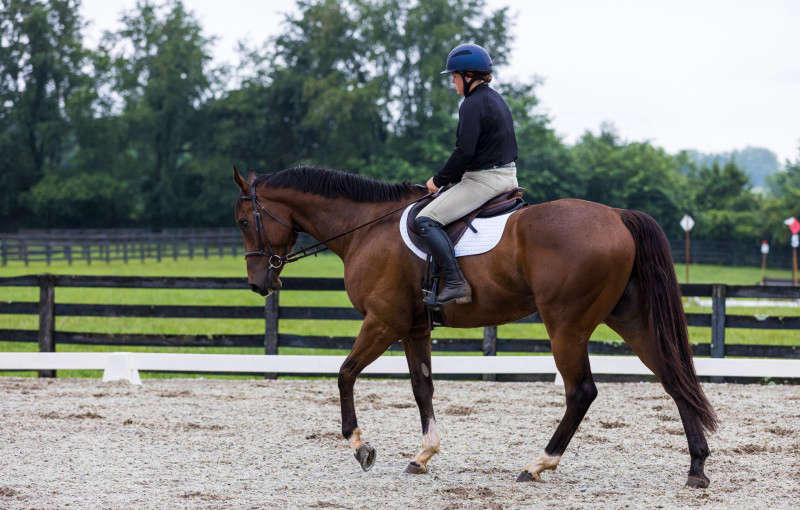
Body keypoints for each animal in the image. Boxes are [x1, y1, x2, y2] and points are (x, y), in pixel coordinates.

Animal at [233, 166, 720, 486]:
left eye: (242, 220)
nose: (259, 283)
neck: (366, 229)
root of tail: (617, 215)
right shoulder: (413, 328)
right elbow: (421, 387)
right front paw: (423, 455)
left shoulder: (383, 321)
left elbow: (345, 373)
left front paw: (361, 447)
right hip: (629, 317)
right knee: (673, 377)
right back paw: (696, 468)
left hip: (566, 325)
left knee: (582, 392)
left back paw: (538, 464)